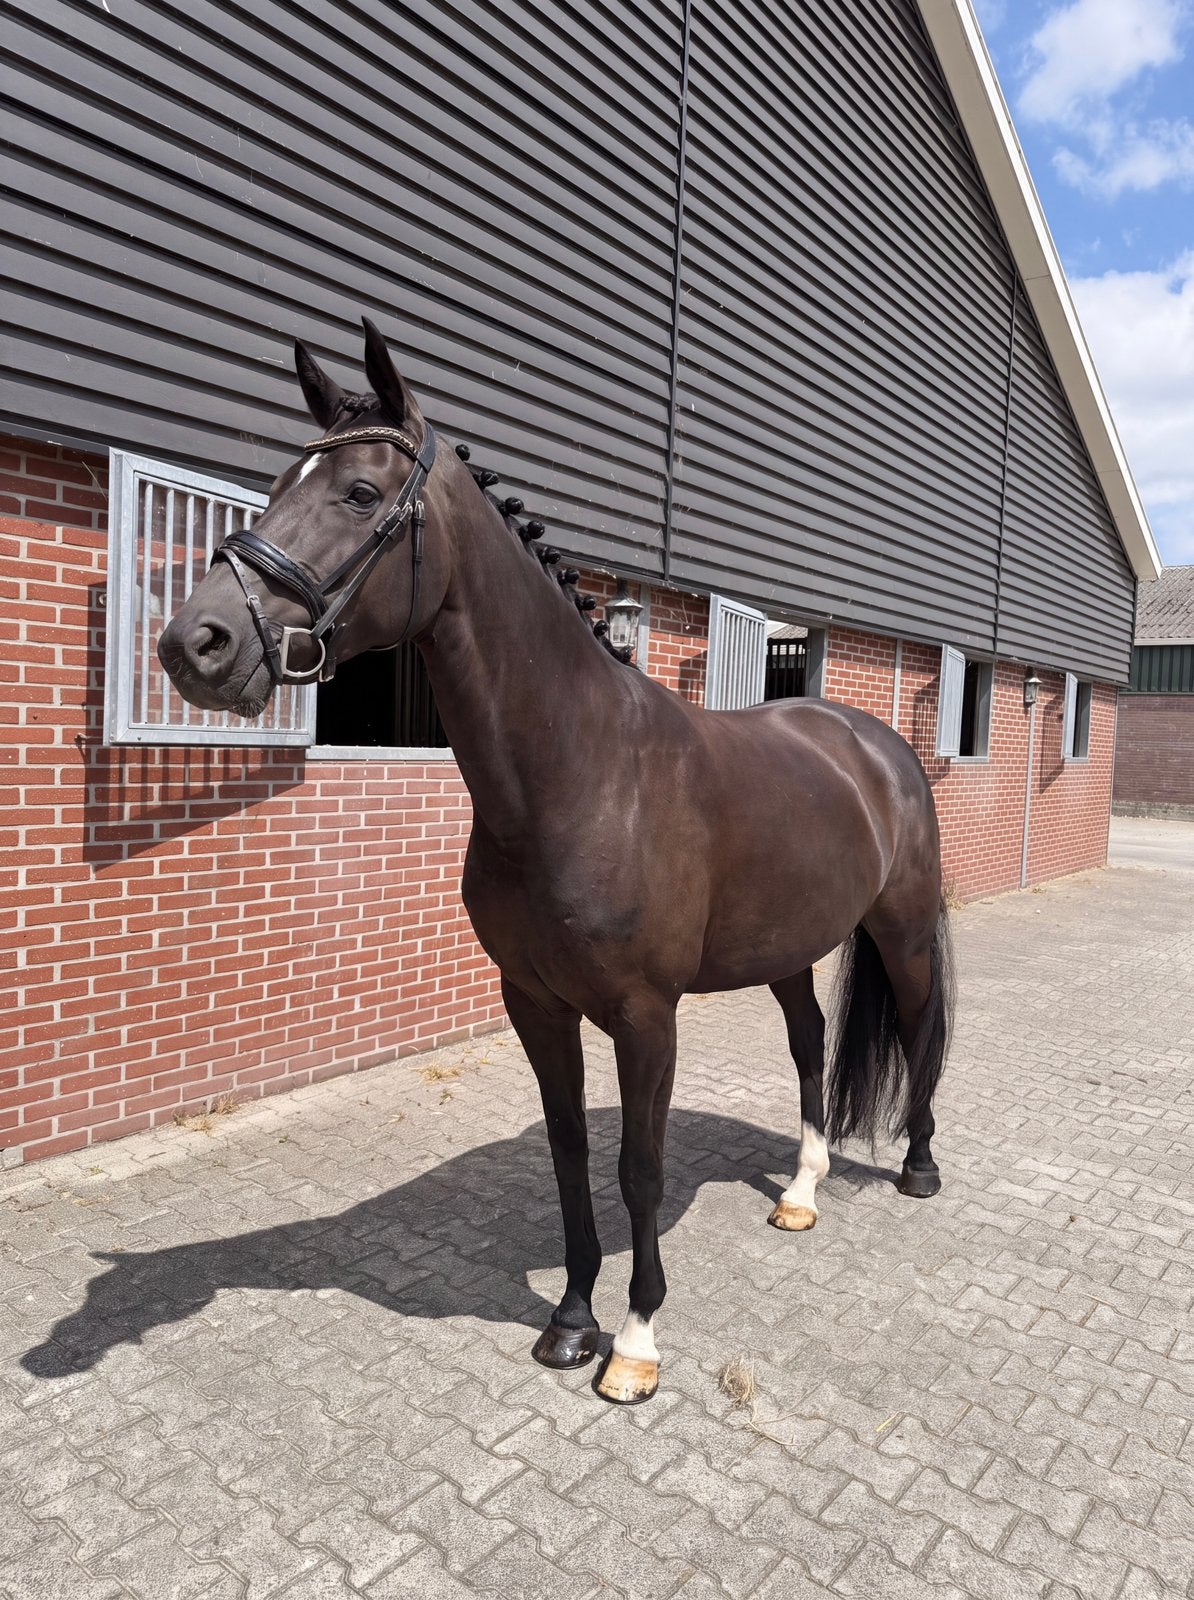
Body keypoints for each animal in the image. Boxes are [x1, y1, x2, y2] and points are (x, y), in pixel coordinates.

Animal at [158, 319, 955, 1405]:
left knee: (920, 1029)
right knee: (809, 1043)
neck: (582, 773)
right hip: (789, 950)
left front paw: (636, 1341)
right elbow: (572, 1155)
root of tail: (872, 742)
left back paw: (918, 1168)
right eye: (280, 481)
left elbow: (638, 1168)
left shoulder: (646, 1015)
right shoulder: (535, 1003)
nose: (195, 642)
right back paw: (799, 1190)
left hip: (903, 929)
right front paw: (573, 1319)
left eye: (358, 493)